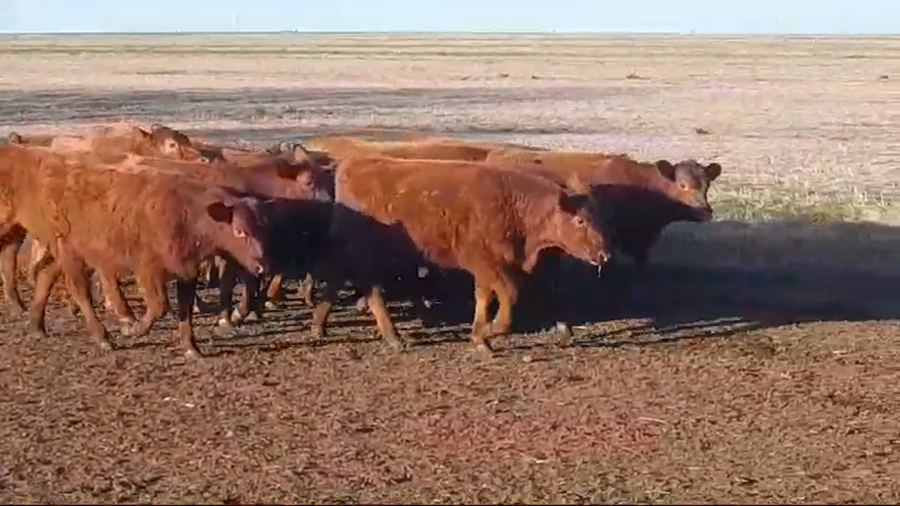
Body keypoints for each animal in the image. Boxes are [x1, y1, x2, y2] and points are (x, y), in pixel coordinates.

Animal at [0, 144, 270, 357]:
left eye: (260, 226)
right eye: (239, 231)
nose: (261, 265)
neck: (186, 213)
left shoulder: (186, 270)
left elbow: (185, 309)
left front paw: (191, 347)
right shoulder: (148, 269)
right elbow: (159, 306)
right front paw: (134, 329)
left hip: (69, 252)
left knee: (46, 275)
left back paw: (36, 326)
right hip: (67, 252)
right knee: (79, 291)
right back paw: (103, 337)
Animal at [308, 155, 612, 357]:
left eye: (597, 217)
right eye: (581, 221)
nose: (605, 255)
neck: (514, 206)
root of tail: (353, 164)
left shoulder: (487, 269)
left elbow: (484, 298)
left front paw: (480, 338)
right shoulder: (486, 263)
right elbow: (509, 294)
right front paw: (492, 330)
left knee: (344, 281)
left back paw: (322, 326)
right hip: (364, 253)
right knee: (370, 290)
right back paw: (391, 336)